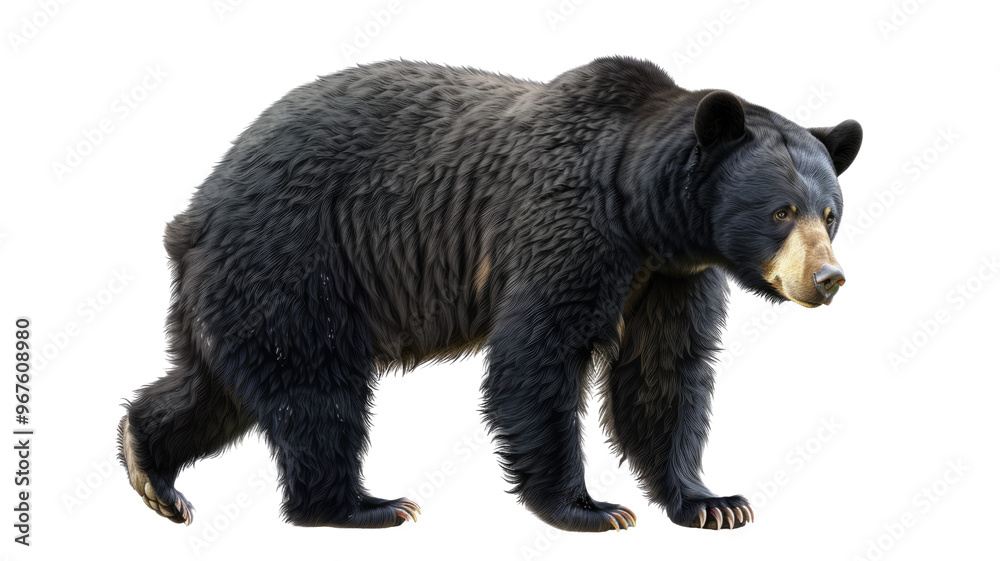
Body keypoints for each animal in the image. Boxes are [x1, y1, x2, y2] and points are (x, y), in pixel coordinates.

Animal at [117, 56, 862, 532]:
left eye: (829, 213)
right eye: (779, 211)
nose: (828, 279)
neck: (640, 209)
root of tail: (196, 210)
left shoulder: (669, 277)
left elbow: (664, 373)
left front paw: (711, 501)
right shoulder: (568, 228)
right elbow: (539, 355)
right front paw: (589, 507)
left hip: (239, 286)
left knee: (217, 389)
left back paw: (151, 470)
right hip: (297, 258)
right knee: (315, 387)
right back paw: (361, 505)